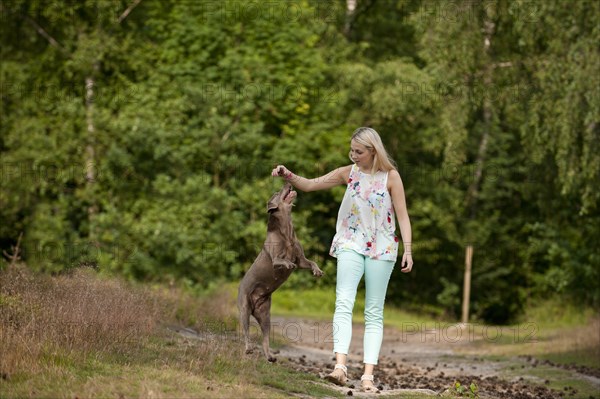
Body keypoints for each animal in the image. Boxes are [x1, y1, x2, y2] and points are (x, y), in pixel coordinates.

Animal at [239, 181, 324, 362]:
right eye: (277, 192)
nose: (288, 181)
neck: (286, 230)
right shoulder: (275, 259)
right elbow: (282, 260)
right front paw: (288, 265)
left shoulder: (301, 259)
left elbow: (310, 261)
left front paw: (317, 271)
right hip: (244, 306)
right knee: (246, 331)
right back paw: (249, 348)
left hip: (265, 315)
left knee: (265, 338)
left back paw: (270, 356)